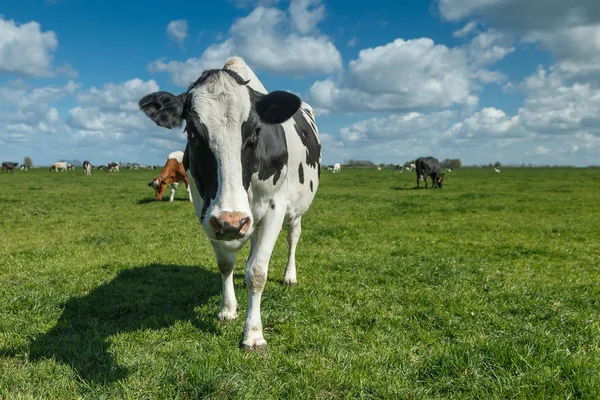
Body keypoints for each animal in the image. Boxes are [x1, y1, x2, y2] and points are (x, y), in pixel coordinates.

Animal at [138, 57, 322, 354]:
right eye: (193, 132)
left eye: (256, 131)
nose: (232, 222)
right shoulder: (206, 212)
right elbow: (226, 264)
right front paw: (227, 309)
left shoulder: (275, 207)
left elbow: (257, 272)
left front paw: (253, 335)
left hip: (296, 208)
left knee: (293, 237)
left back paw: (289, 275)